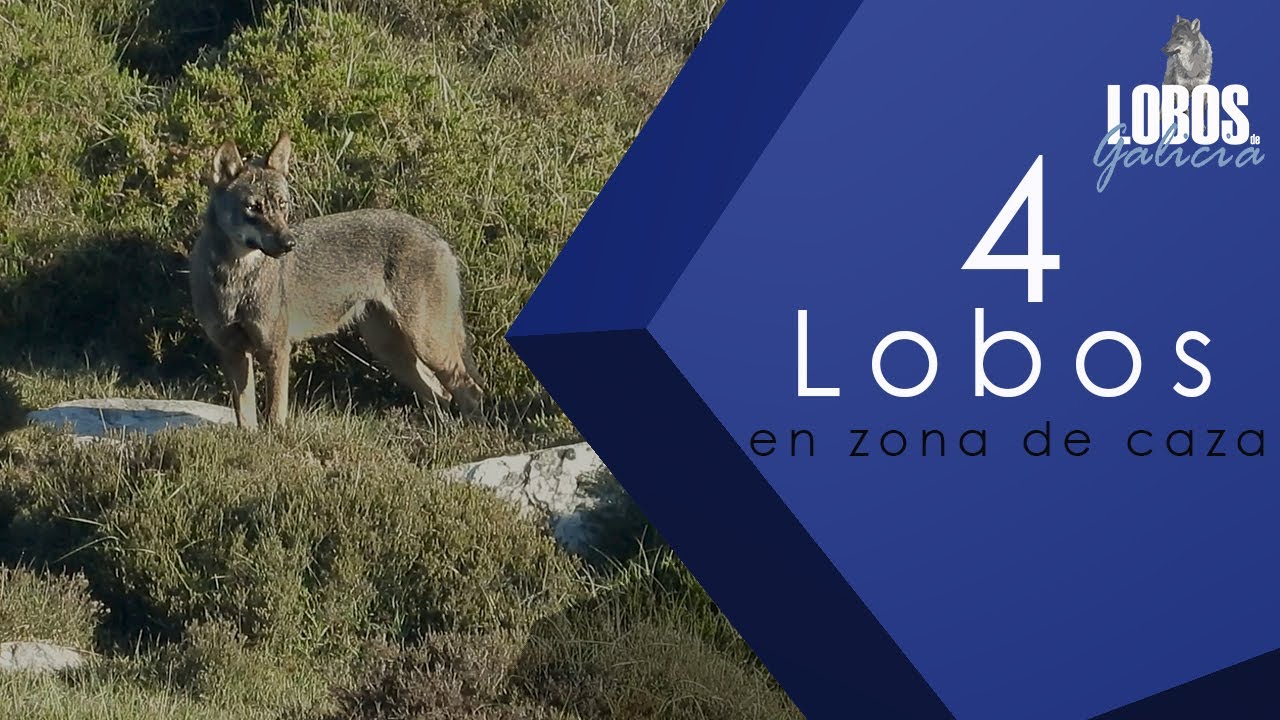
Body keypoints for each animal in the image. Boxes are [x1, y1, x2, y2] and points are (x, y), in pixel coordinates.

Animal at [188, 132, 485, 429]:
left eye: (282, 206)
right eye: (253, 208)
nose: (289, 243)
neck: (234, 279)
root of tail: (436, 234)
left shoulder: (276, 349)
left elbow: (275, 416)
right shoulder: (233, 351)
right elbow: (246, 419)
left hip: (427, 345)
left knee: (468, 391)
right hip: (390, 350)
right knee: (439, 392)